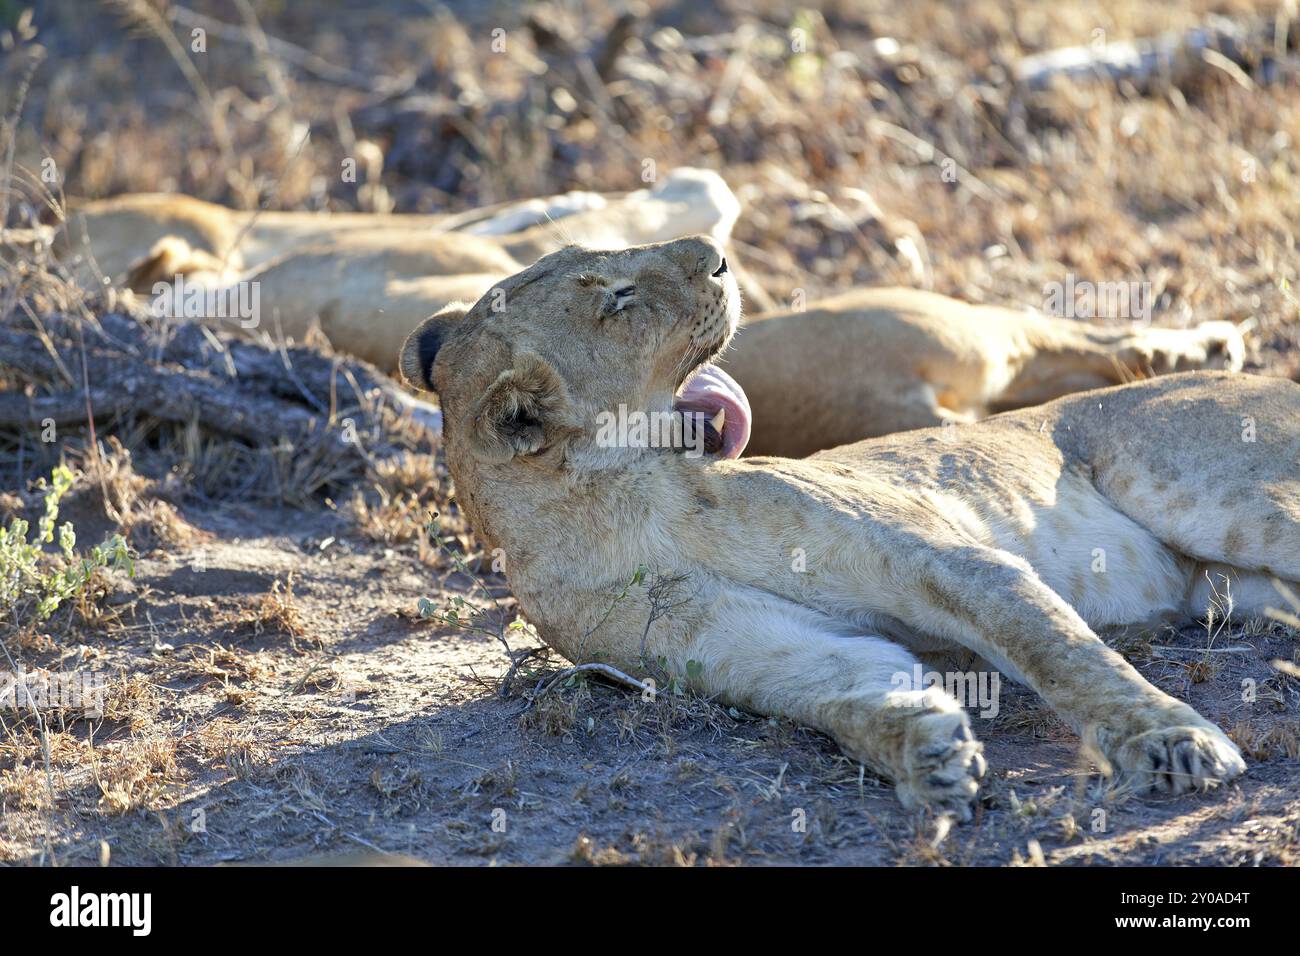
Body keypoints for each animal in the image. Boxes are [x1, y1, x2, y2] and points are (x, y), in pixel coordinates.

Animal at [397, 235, 1300, 818]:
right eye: (617, 300)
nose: (717, 254)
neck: (622, 511)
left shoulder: (944, 559)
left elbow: (1062, 654)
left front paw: (1174, 742)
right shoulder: (746, 649)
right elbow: (843, 695)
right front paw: (926, 753)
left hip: (1216, 497)